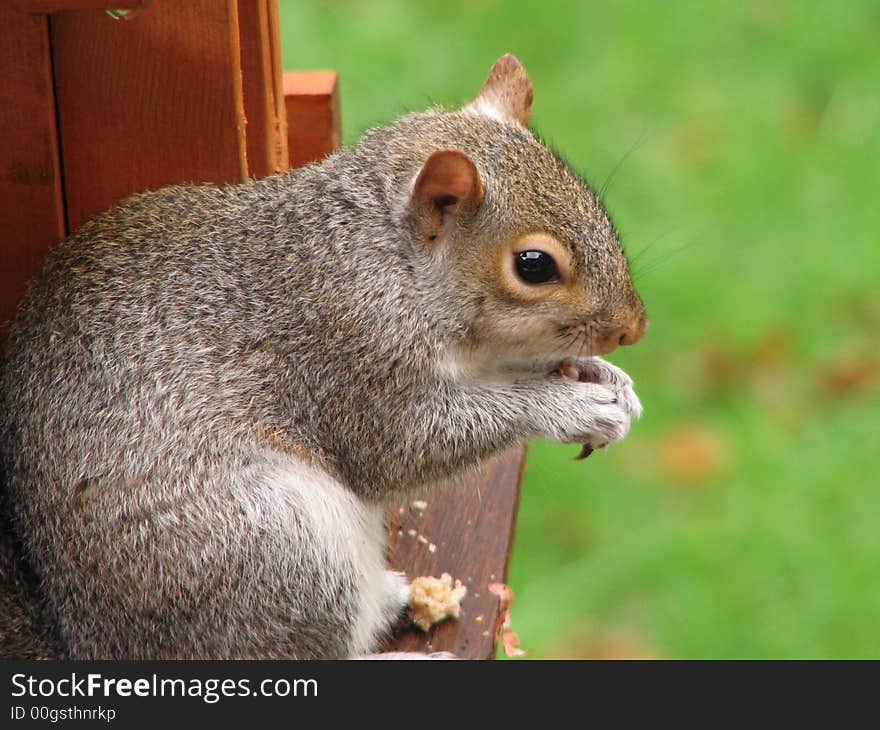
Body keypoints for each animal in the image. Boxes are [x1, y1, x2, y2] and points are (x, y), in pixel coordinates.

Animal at [0, 55, 648, 660]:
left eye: (595, 204)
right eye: (534, 266)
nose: (634, 328)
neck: (381, 255)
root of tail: (90, 639)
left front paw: (606, 379)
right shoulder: (344, 353)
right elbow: (406, 446)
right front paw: (567, 405)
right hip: (272, 549)